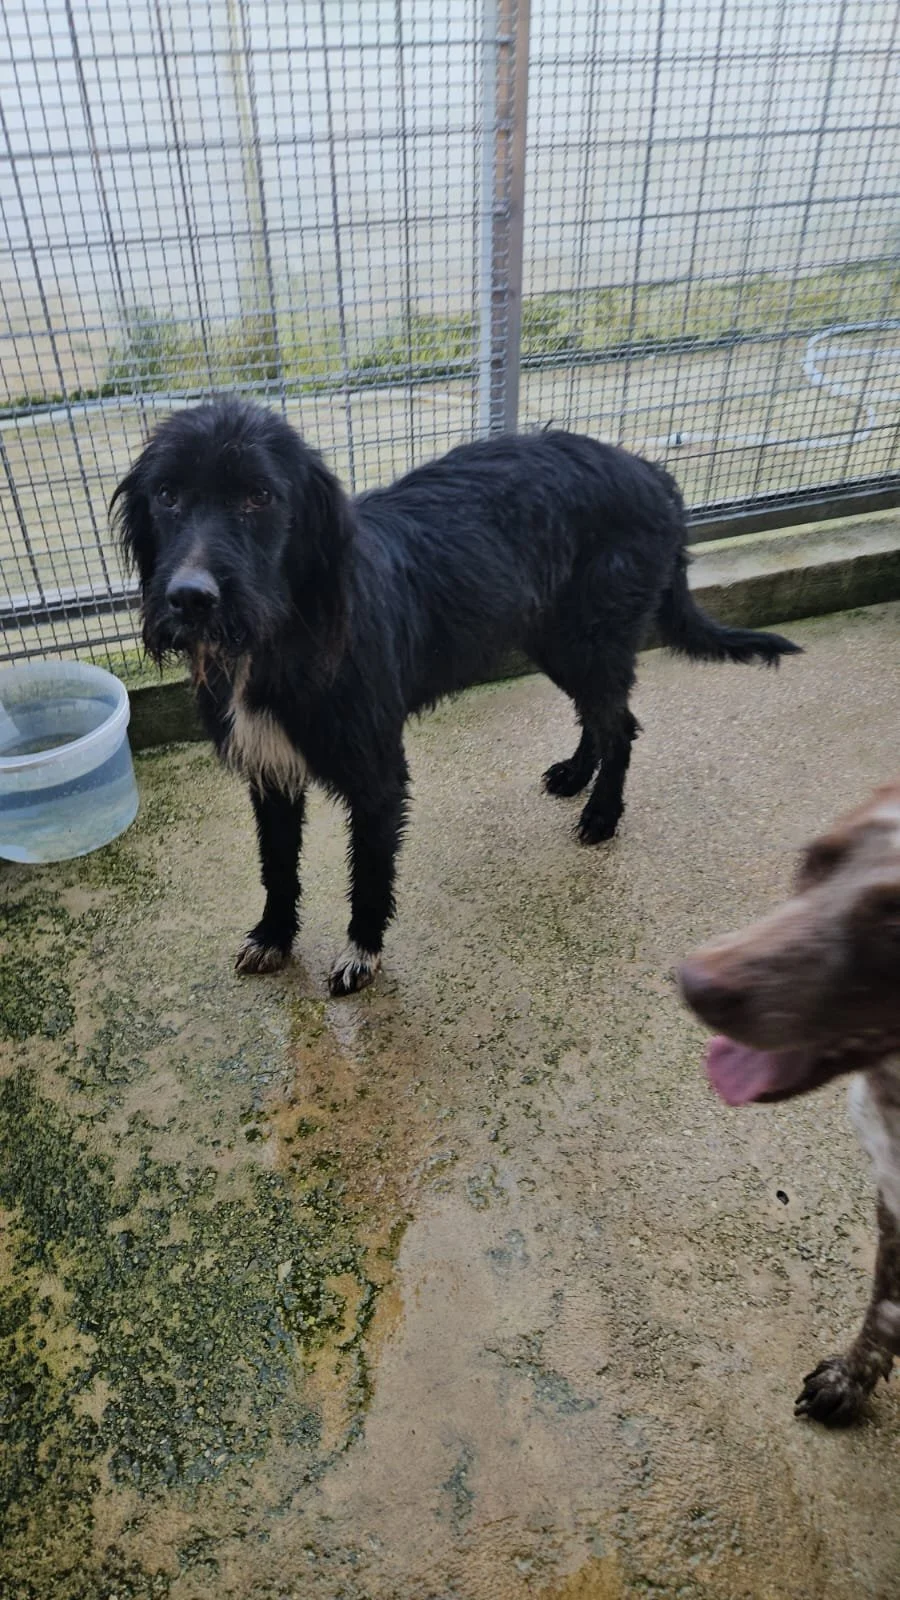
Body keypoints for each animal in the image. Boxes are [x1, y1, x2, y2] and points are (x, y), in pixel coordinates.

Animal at [113, 397, 799, 996]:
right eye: (167, 495)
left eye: (259, 496)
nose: (189, 599)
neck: (283, 633)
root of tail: (652, 472)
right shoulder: (270, 769)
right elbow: (277, 865)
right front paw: (275, 936)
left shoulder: (379, 777)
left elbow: (369, 874)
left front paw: (362, 952)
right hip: (556, 641)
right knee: (599, 717)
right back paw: (575, 775)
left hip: (590, 640)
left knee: (621, 724)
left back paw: (602, 814)